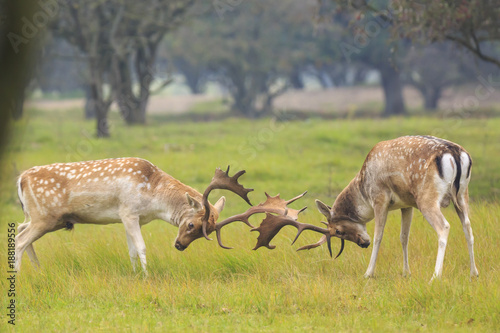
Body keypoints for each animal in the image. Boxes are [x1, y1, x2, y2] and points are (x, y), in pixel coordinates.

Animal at [254, 135, 480, 280]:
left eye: (338, 231)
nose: (363, 243)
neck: (363, 190)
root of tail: (455, 153)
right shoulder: (407, 204)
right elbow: (404, 237)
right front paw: (406, 273)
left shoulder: (380, 198)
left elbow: (380, 236)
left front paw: (368, 273)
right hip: (462, 195)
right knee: (468, 228)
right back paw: (474, 273)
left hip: (427, 197)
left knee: (444, 227)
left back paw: (436, 276)